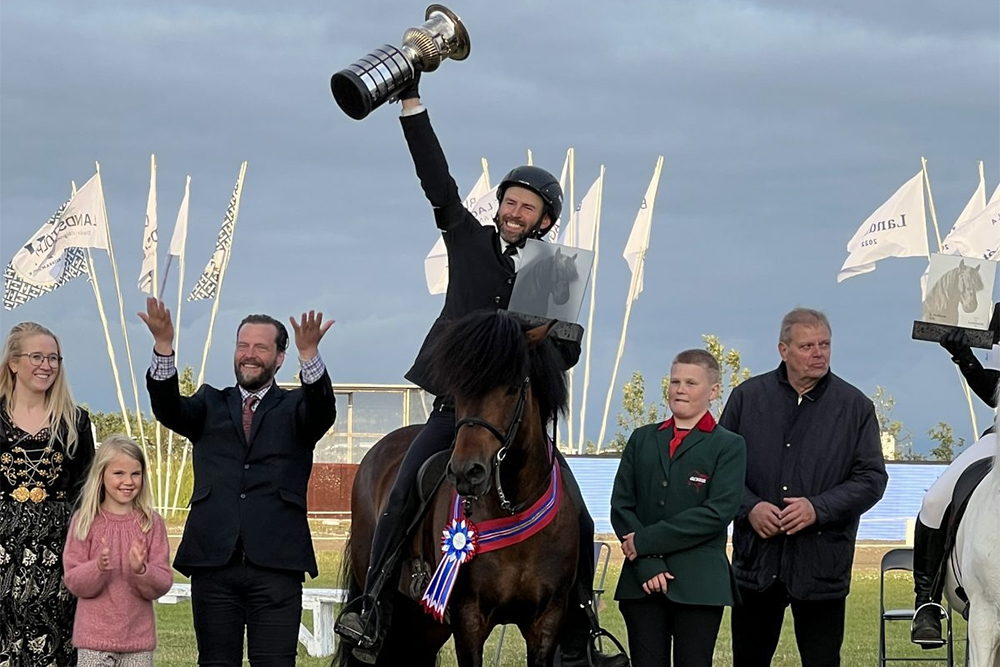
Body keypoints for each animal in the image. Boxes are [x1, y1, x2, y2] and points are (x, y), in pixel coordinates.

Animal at [334, 312, 580, 667]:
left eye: (512, 387)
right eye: (458, 389)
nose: (467, 471)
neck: (512, 507)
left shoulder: (546, 621)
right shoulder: (468, 619)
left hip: (426, 626)